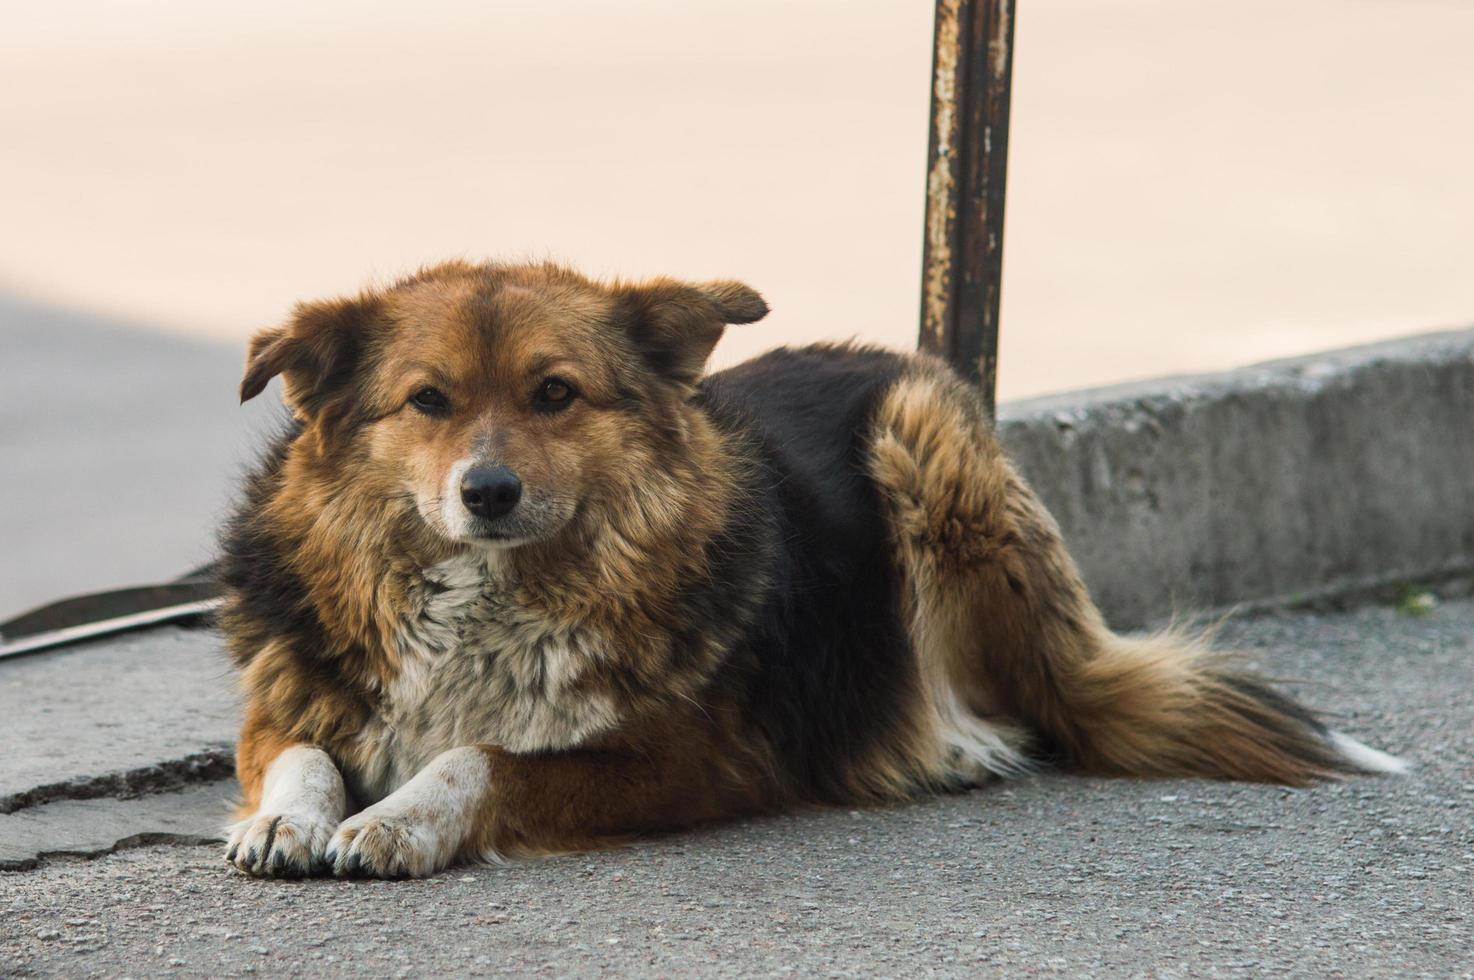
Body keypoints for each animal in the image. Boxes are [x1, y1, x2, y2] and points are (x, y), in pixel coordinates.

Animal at [221, 259, 1403, 878]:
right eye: (427, 400)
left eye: (555, 393)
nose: (488, 491)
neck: (491, 588)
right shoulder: (288, 698)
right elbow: (303, 752)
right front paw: (287, 817)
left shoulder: (698, 756)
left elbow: (485, 754)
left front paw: (394, 817)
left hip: (924, 450)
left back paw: (948, 739)